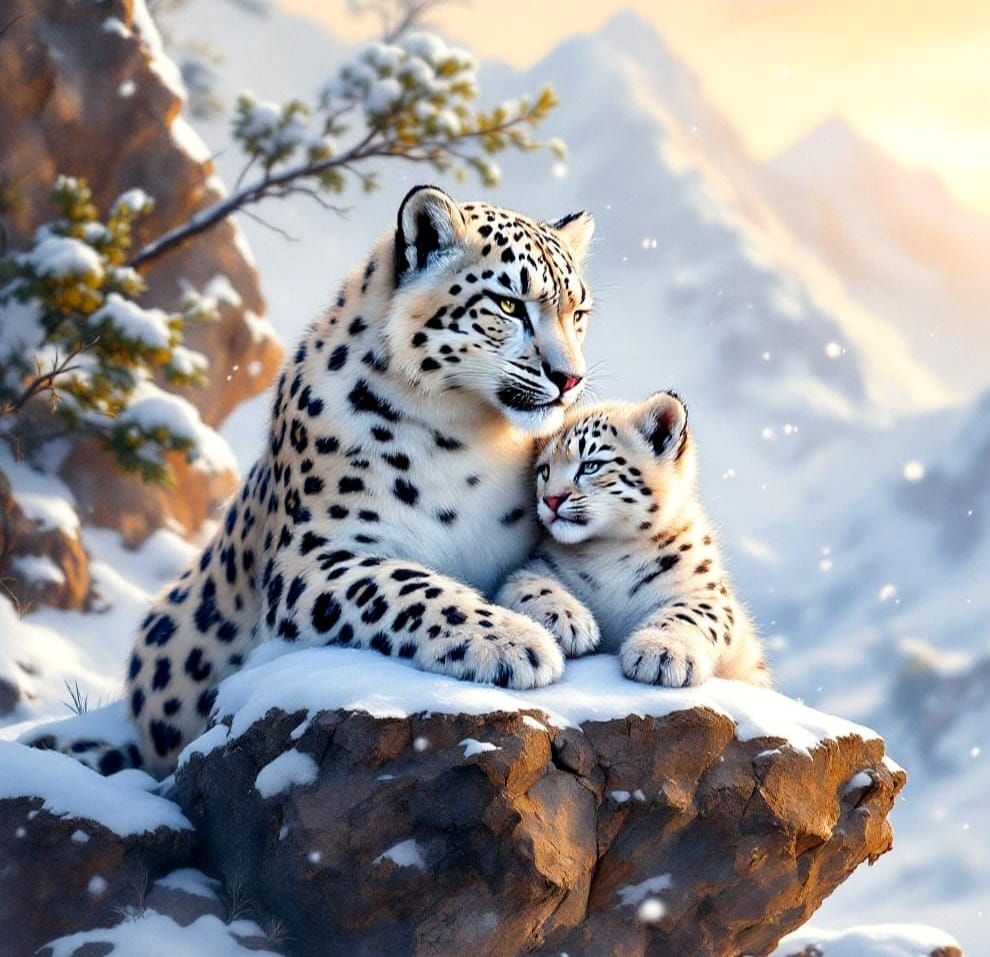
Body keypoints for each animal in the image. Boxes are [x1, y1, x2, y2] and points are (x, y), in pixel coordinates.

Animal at [496, 392, 770, 688]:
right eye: (544, 471)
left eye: (591, 465)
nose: (551, 499)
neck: (610, 549)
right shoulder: (534, 566)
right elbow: (530, 585)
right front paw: (568, 622)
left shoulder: (707, 592)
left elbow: (692, 613)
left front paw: (661, 651)